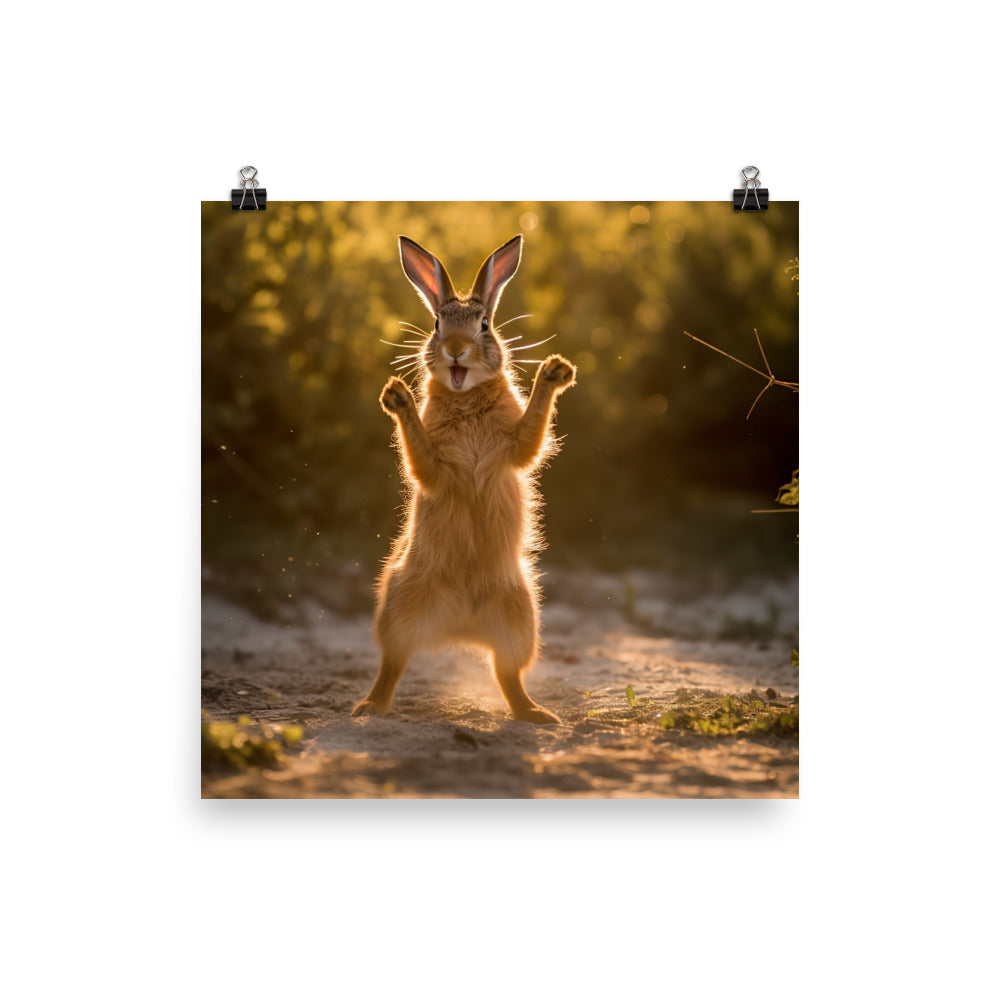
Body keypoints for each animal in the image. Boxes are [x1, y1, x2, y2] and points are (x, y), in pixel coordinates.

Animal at [351, 234, 576, 725]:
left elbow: (532, 435)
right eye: (437, 324)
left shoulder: (514, 447)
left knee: (507, 675)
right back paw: (369, 707)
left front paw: (556, 371)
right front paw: (395, 396)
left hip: (520, 617)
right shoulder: (435, 468)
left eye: (485, 325)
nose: (456, 348)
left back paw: (538, 715)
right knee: (393, 664)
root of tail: (459, 626)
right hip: (399, 607)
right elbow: (420, 459)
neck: (466, 396)